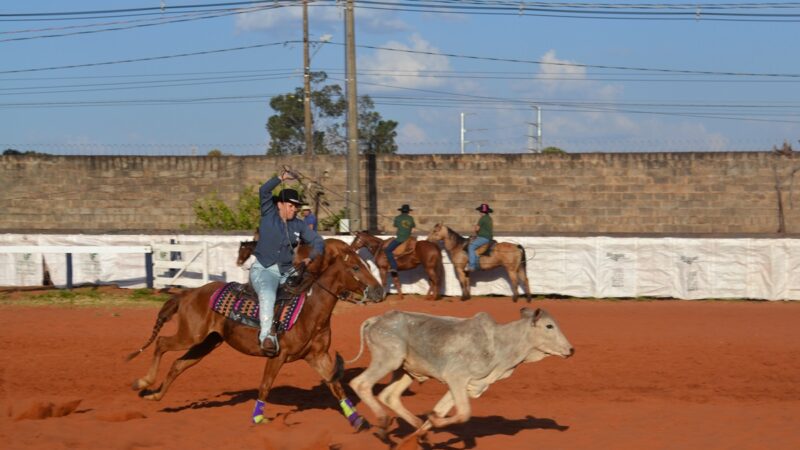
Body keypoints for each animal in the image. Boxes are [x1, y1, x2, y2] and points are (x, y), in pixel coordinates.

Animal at [127, 237, 384, 428]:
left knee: (178, 364)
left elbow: (336, 386)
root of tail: (189, 293)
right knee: (161, 343)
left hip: (207, 342)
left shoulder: (317, 356)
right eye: (355, 267)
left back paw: (155, 395)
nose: (379, 291)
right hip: (190, 335)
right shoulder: (277, 355)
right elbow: (265, 385)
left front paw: (357, 419)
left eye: (367, 265)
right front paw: (258, 418)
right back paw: (143, 382)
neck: (309, 310)